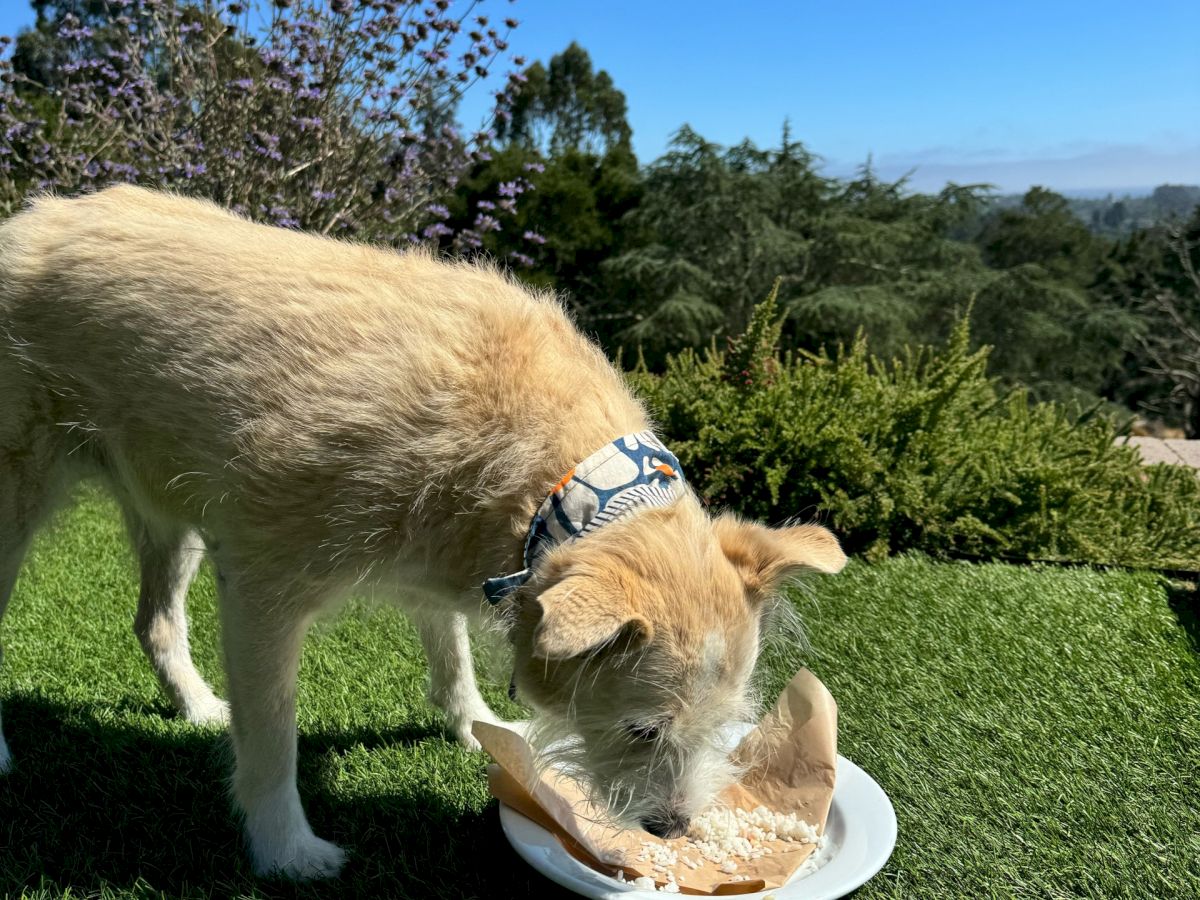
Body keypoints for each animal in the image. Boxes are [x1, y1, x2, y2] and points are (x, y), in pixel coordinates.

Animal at [0, 184, 844, 883]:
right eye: (641, 730)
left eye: (725, 728)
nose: (670, 829)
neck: (561, 486)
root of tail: (29, 216)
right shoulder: (263, 589)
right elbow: (272, 736)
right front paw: (286, 850)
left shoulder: (446, 553)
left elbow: (452, 651)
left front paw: (480, 725)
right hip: (19, 497)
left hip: (167, 502)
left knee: (154, 621)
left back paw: (198, 705)